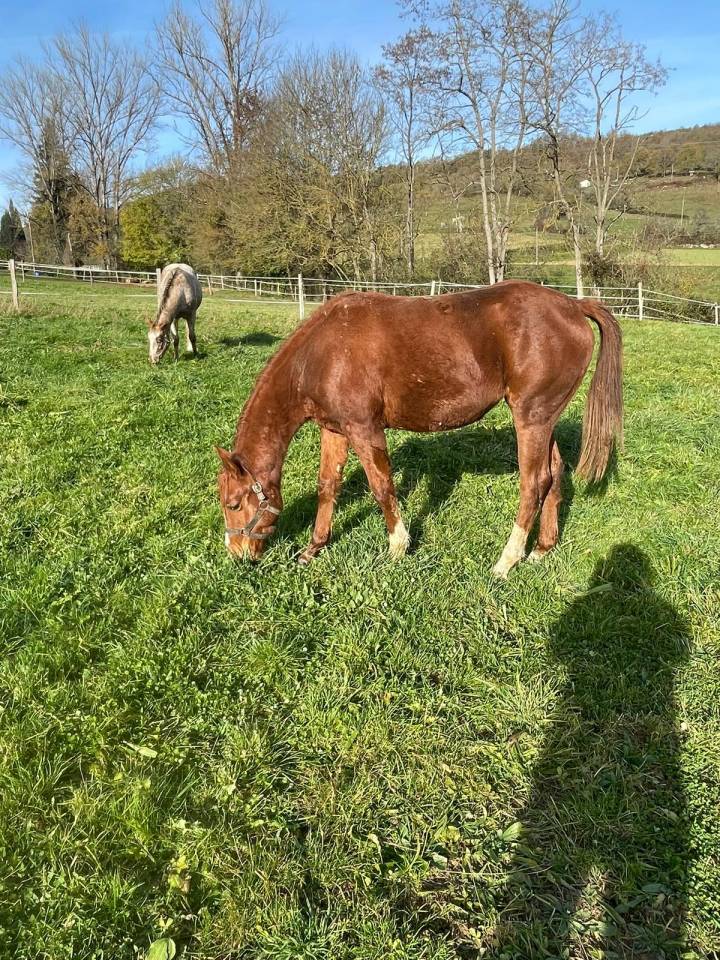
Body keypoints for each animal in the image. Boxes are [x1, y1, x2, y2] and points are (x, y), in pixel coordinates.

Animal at [215, 280, 623, 577]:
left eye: (233, 503)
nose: (237, 554)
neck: (322, 352)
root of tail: (573, 306)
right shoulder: (335, 429)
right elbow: (328, 486)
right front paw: (314, 547)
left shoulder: (364, 429)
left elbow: (382, 487)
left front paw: (397, 547)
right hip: (544, 419)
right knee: (553, 474)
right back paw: (541, 549)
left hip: (530, 418)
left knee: (533, 484)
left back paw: (506, 562)